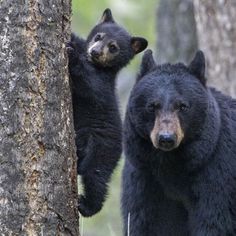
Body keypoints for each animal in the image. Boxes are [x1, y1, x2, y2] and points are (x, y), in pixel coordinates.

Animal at [67, 8, 148, 217]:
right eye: (98, 36)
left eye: (113, 47)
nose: (95, 52)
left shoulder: (103, 85)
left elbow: (90, 85)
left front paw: (72, 56)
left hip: (103, 149)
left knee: (96, 177)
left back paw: (87, 206)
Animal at [122, 49, 236, 236]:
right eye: (152, 106)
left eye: (183, 106)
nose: (166, 138)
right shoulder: (144, 176)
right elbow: (145, 221)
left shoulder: (217, 171)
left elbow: (215, 220)